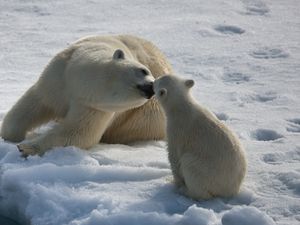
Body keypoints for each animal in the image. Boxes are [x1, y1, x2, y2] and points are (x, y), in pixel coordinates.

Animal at [0, 34, 171, 156]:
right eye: (143, 70)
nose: (151, 88)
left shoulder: (94, 107)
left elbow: (78, 133)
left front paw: (26, 147)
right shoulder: (58, 77)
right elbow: (35, 102)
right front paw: (9, 137)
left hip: (146, 119)